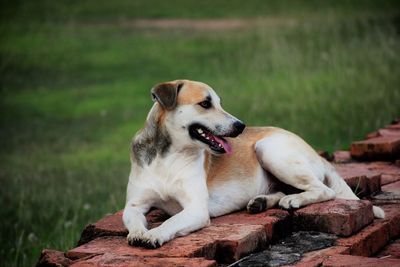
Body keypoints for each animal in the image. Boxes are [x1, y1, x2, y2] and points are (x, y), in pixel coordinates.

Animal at [122, 79, 384, 249]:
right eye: (205, 103)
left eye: (218, 102)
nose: (240, 126)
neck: (166, 155)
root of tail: (316, 153)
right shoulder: (134, 205)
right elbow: (133, 220)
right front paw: (139, 232)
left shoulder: (196, 209)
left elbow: (172, 220)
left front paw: (155, 233)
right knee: (282, 190)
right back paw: (261, 202)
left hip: (269, 149)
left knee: (324, 190)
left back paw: (294, 200)